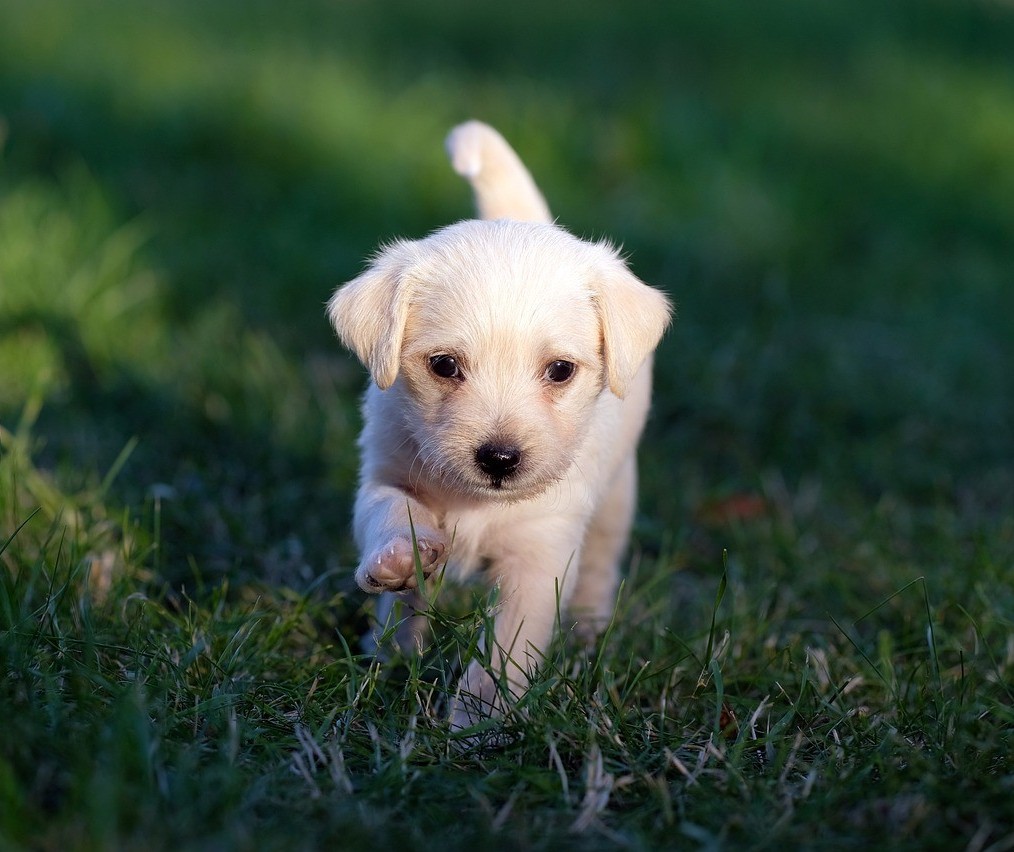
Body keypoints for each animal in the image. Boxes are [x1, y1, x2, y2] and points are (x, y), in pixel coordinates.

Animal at [326, 123, 673, 730]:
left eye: (560, 371)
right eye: (444, 365)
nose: (500, 459)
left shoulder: (540, 557)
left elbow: (505, 650)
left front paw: (478, 723)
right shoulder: (385, 473)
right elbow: (391, 513)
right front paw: (398, 560)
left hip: (616, 499)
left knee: (601, 564)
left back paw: (588, 631)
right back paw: (388, 648)